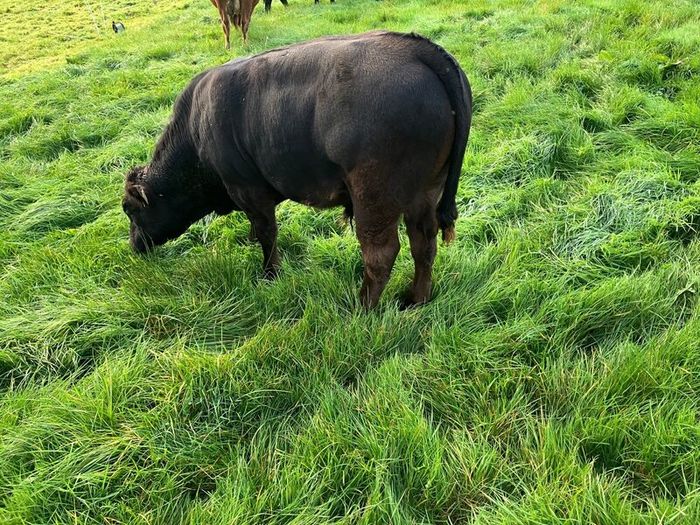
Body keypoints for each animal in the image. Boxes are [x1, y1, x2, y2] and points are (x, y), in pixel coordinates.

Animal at [122, 31, 472, 309]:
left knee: (381, 254)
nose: (134, 246)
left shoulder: (249, 191)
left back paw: (361, 307)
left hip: (374, 197)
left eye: (129, 209)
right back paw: (415, 299)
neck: (196, 128)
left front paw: (270, 274)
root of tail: (417, 49)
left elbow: (267, 234)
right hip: (424, 192)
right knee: (423, 243)